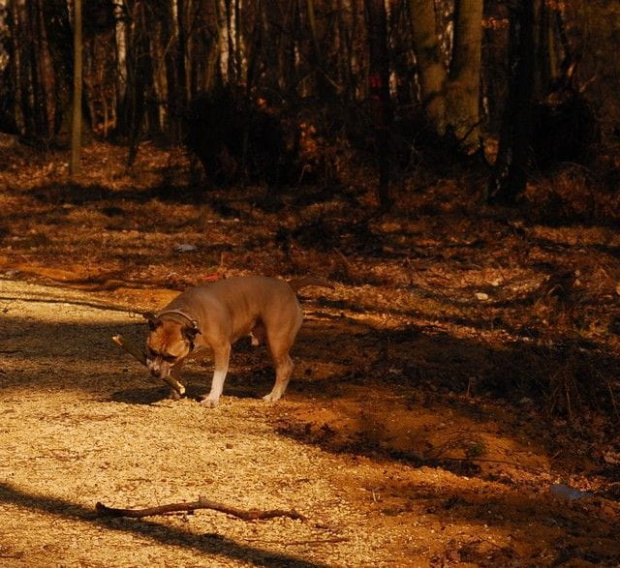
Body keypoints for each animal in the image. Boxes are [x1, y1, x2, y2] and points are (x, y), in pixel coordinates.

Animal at [144, 276, 334, 406]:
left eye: (169, 356)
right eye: (152, 351)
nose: (154, 372)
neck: (188, 315)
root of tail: (288, 286)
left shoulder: (222, 349)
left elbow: (218, 376)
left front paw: (212, 399)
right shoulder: (181, 356)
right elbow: (175, 374)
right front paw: (175, 393)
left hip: (276, 341)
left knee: (285, 367)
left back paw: (274, 395)